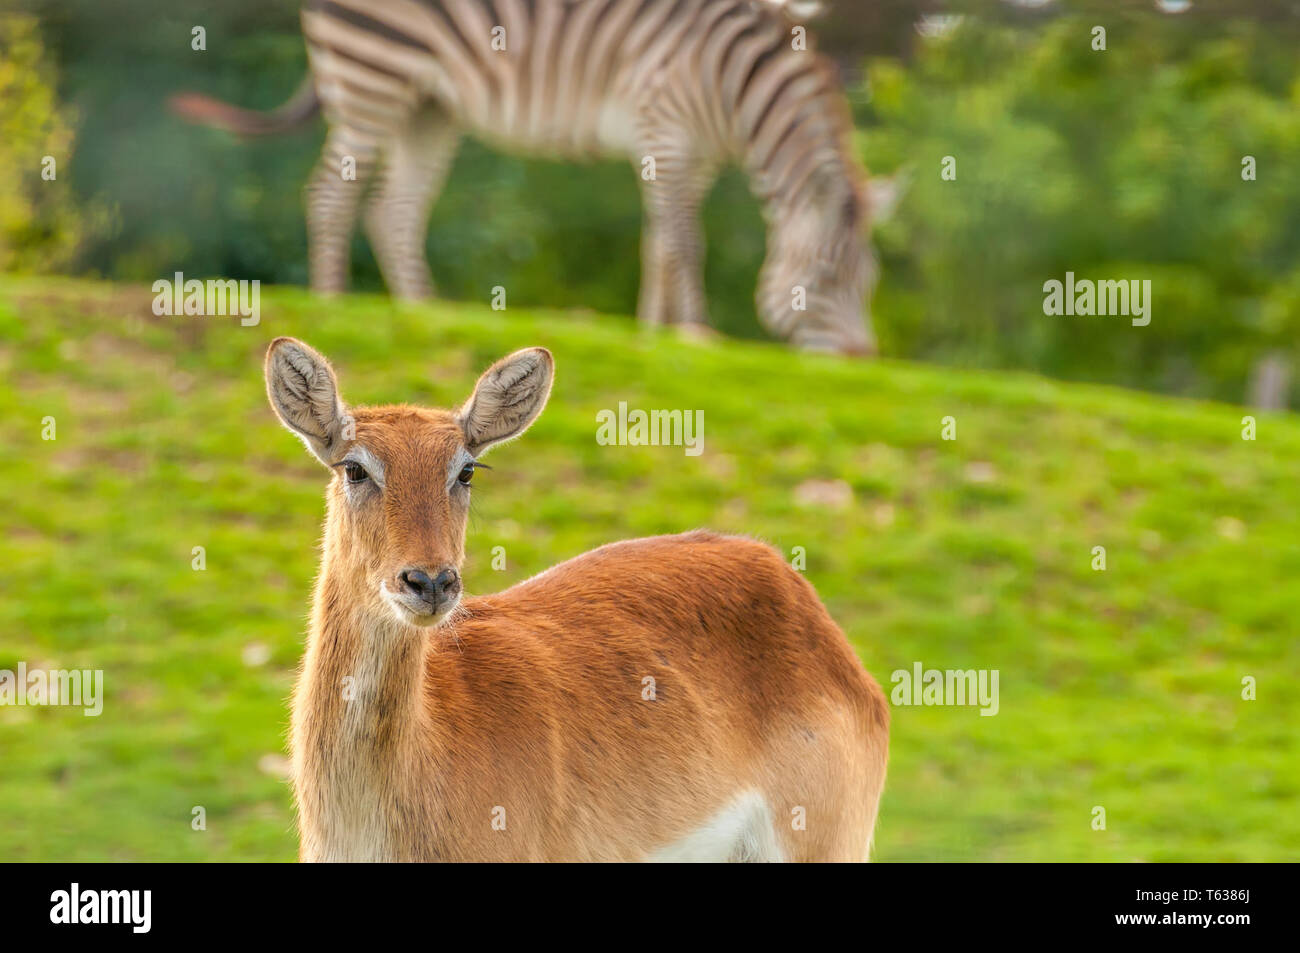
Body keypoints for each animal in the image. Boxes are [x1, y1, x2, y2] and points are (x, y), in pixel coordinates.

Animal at [170, 0, 894, 353]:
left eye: (868, 284)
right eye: (825, 280)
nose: (863, 362)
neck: (740, 89)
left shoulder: (685, 153)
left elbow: (657, 244)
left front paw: (652, 330)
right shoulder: (669, 130)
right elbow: (686, 242)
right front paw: (696, 332)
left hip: (428, 106)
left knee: (393, 209)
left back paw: (425, 308)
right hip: (373, 76)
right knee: (330, 193)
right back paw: (334, 300)